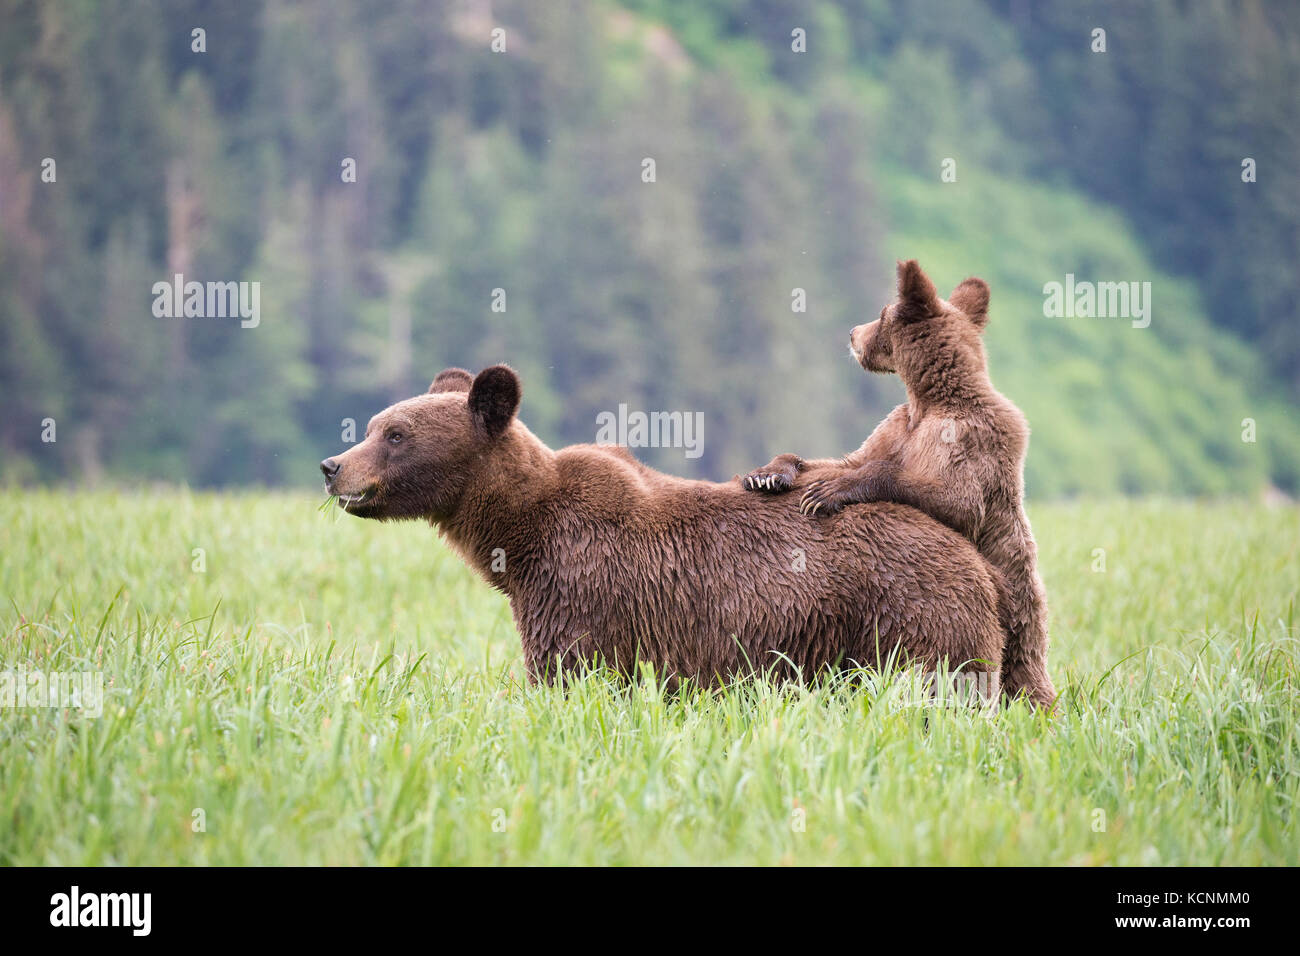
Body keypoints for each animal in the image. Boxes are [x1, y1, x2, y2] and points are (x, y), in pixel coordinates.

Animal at [322, 364, 1003, 686]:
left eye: (395, 434)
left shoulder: (579, 587)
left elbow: (568, 674)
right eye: (377, 423)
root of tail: (973, 558)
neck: (517, 534)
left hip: (907, 616)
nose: (333, 467)